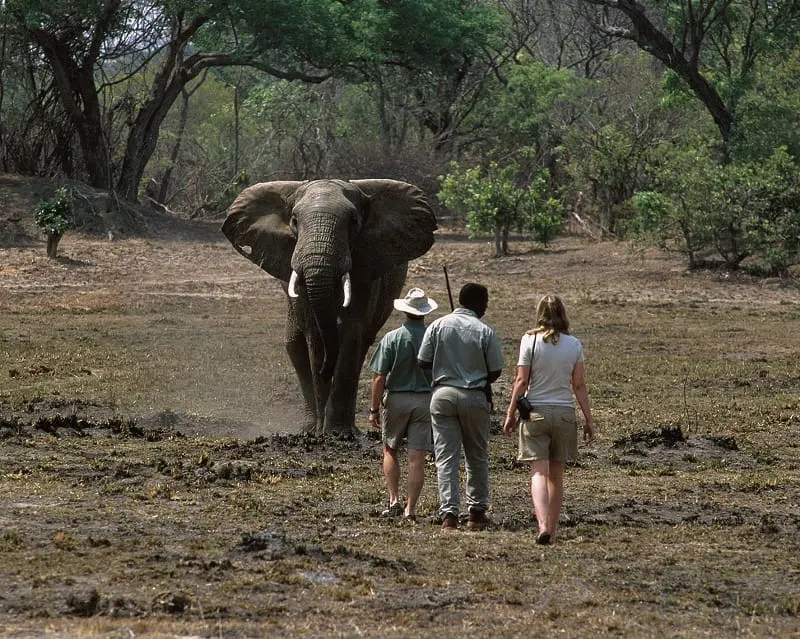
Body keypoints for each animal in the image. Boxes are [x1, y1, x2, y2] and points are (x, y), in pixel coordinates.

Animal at [222, 179, 437, 436]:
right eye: (294, 221)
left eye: (353, 221)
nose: (326, 371)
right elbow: (315, 335)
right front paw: (321, 432)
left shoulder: (365, 269)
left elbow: (352, 334)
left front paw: (338, 433)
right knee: (294, 345)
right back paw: (309, 427)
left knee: (362, 345)